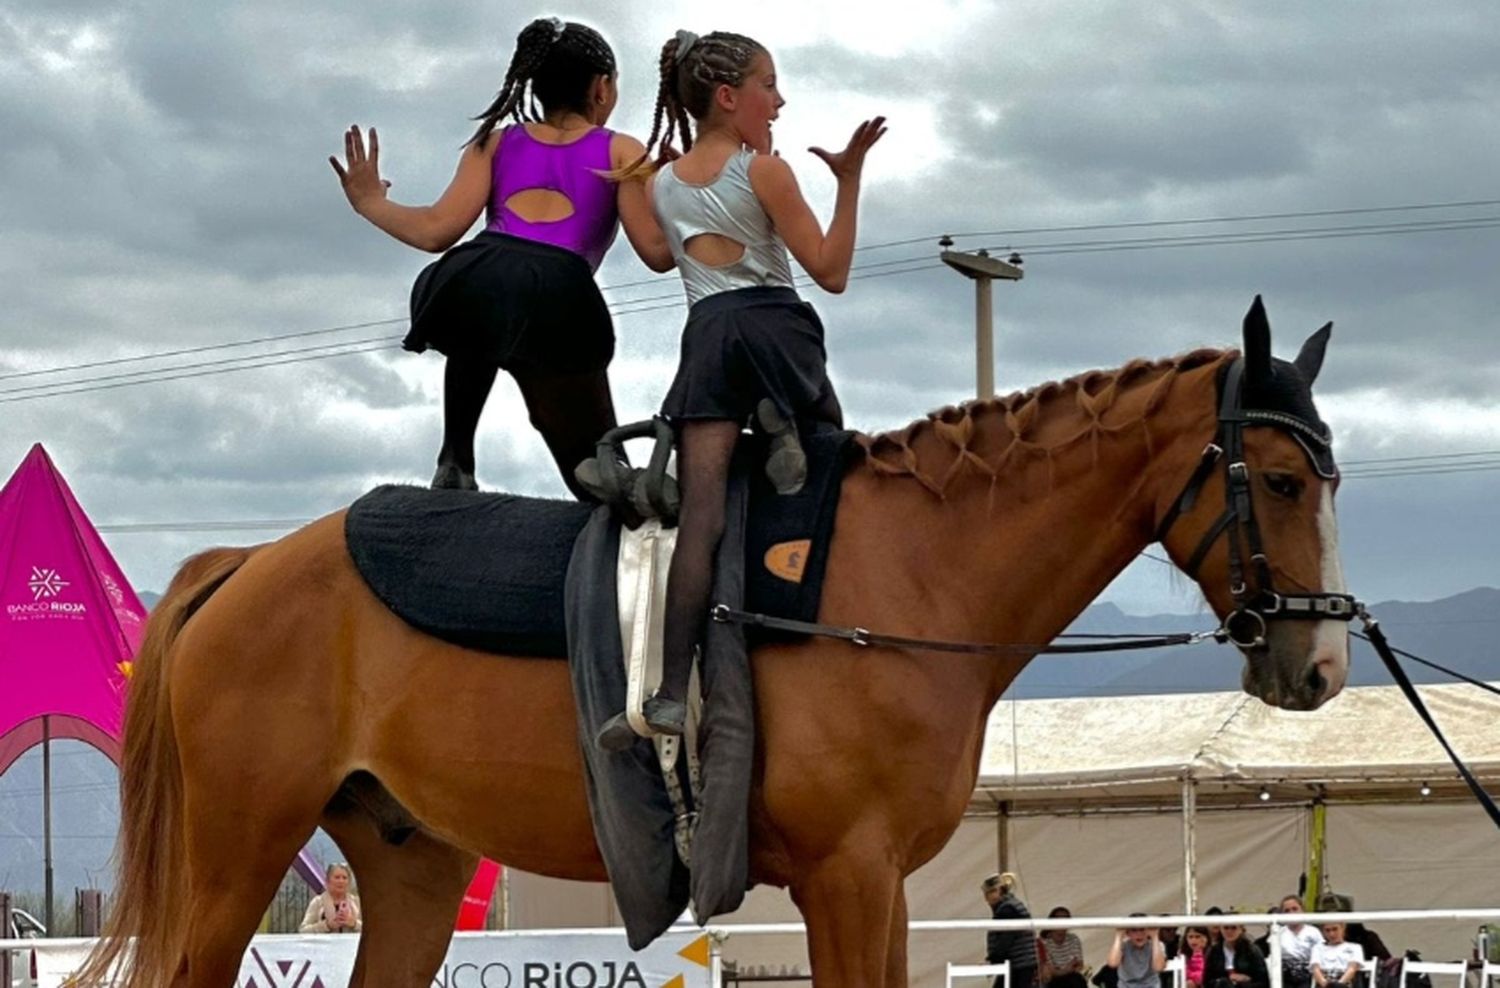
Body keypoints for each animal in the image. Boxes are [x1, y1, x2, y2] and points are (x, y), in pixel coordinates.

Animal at [79, 301, 1350, 988]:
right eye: (1283, 479)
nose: (1320, 669)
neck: (912, 571)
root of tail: (246, 562)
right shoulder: (847, 874)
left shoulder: (882, 884)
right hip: (238, 854)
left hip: (410, 863)